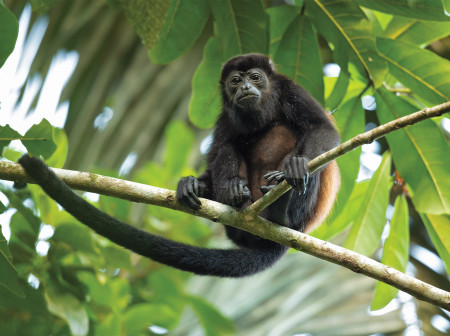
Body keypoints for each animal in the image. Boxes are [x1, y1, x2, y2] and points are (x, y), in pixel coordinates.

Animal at [19, 53, 340, 278]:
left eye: (255, 77)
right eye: (235, 81)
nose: (246, 86)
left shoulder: (290, 89)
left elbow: (322, 128)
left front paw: (296, 165)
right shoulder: (225, 114)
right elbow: (220, 149)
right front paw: (198, 184)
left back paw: (281, 208)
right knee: (229, 147)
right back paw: (231, 193)